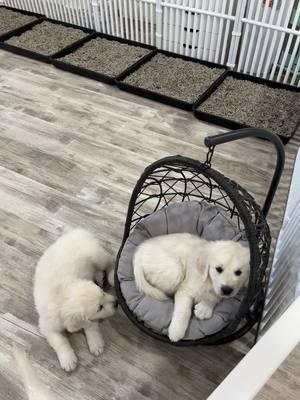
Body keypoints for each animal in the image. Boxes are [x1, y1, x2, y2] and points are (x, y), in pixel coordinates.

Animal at [33, 228, 116, 372]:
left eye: (103, 293)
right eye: (100, 307)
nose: (116, 303)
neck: (62, 296)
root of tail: (78, 231)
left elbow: (91, 326)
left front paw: (96, 344)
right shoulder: (47, 326)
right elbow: (60, 341)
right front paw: (68, 359)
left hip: (96, 255)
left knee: (110, 260)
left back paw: (111, 276)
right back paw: (99, 277)